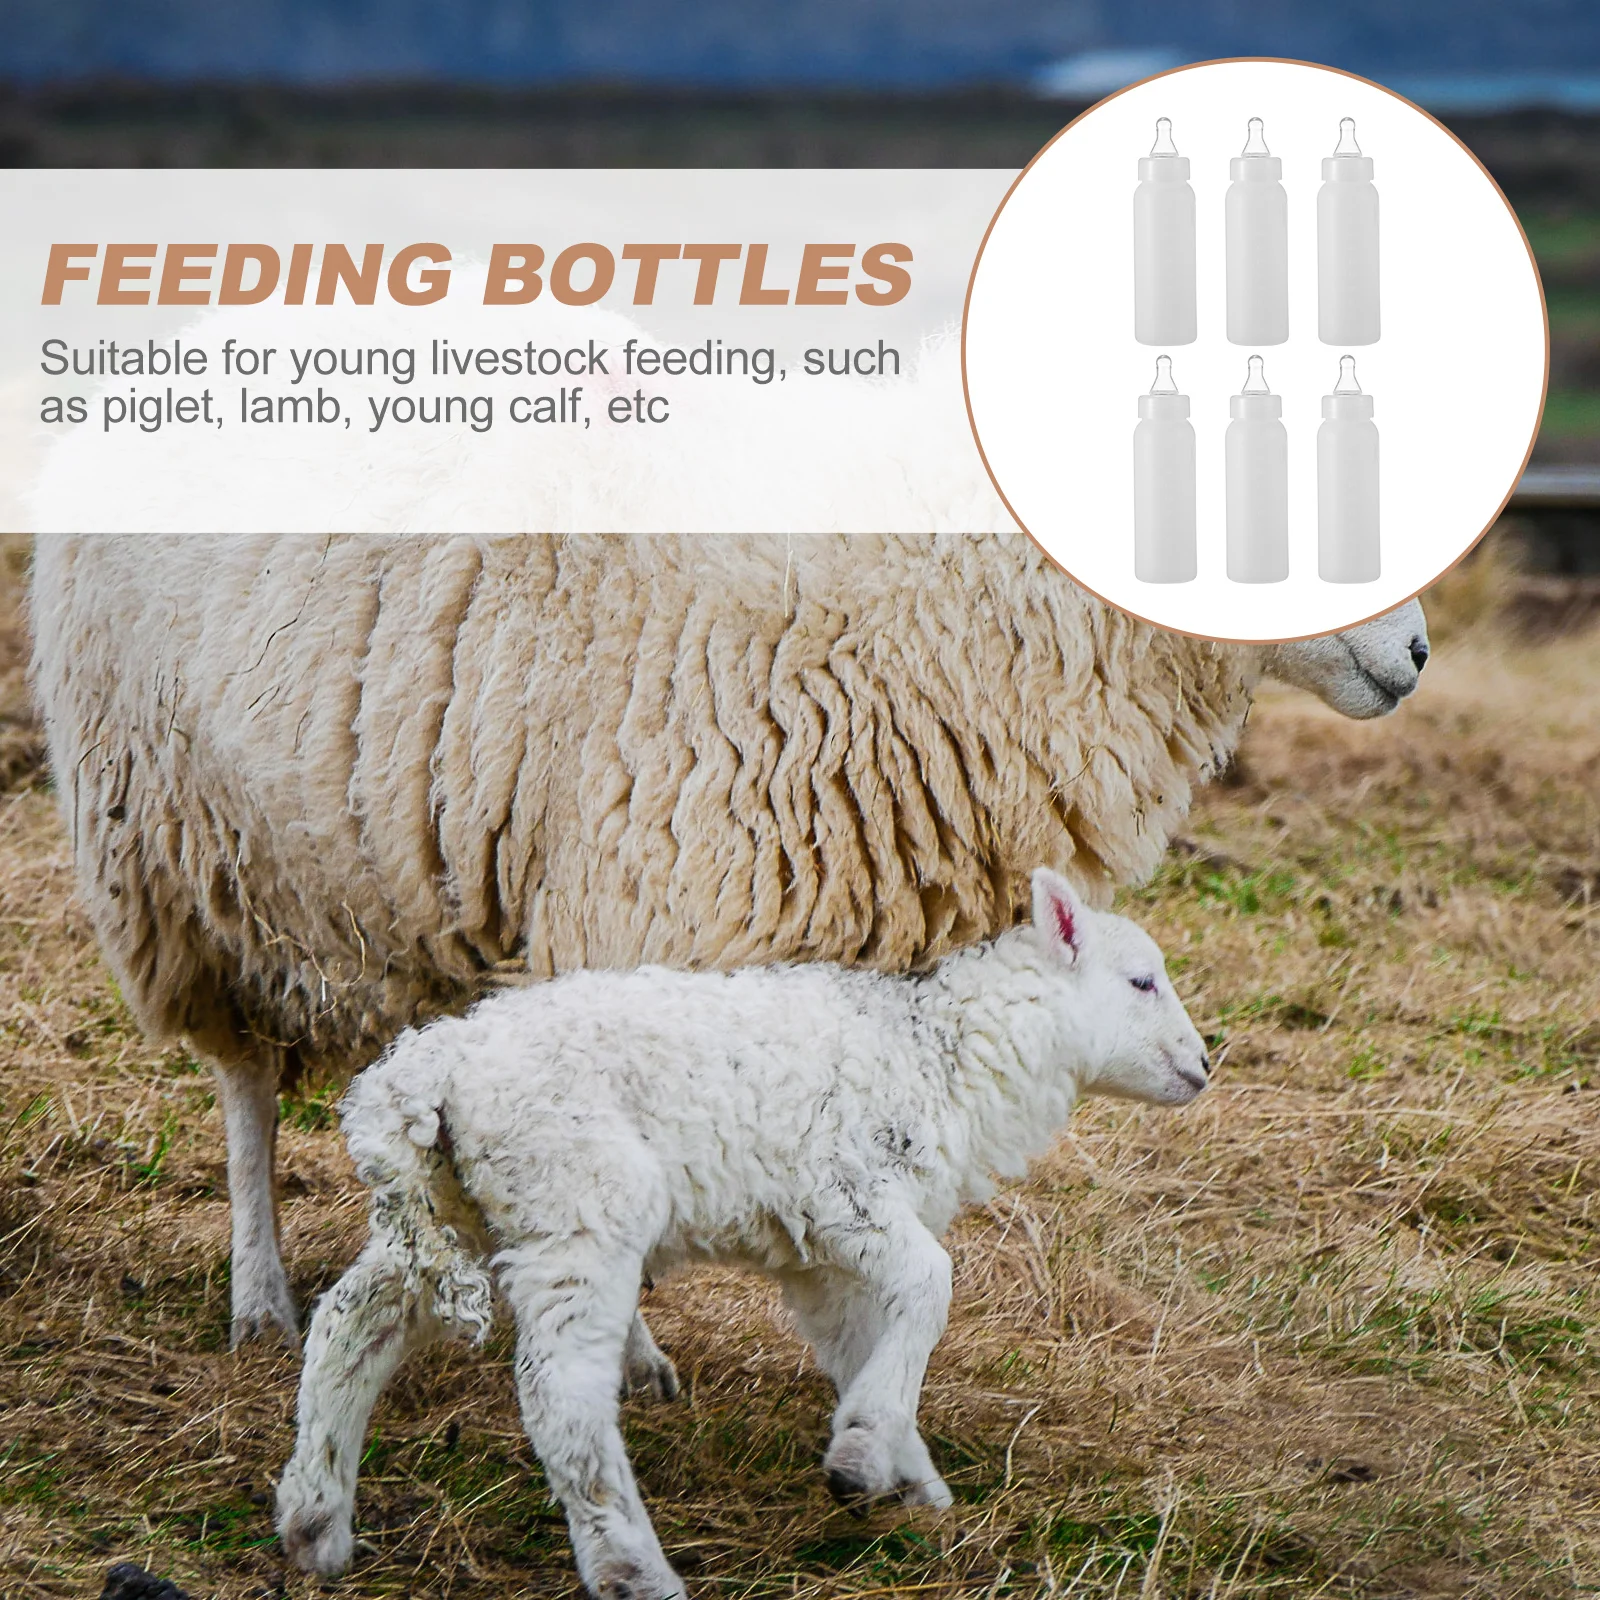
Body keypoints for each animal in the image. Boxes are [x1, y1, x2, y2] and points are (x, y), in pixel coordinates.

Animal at [274, 866, 1207, 1599]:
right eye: (1141, 983)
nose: (1204, 1066)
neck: (945, 1053)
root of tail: (425, 1069)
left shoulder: (820, 1256)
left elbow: (860, 1339)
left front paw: (898, 1470)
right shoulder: (842, 1188)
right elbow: (931, 1284)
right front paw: (867, 1452)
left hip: (447, 1205)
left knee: (353, 1322)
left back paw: (316, 1521)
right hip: (578, 1200)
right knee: (561, 1394)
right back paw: (633, 1572)